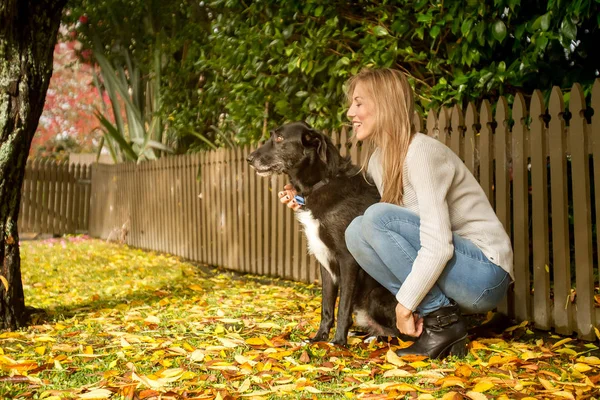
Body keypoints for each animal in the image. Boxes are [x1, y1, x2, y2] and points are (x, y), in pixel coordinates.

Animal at [246, 120, 400, 346]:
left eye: (280, 138)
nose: (248, 159)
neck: (320, 183)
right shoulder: (325, 262)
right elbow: (326, 306)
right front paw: (319, 338)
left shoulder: (347, 260)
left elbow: (343, 306)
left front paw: (337, 343)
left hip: (375, 296)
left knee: (403, 333)